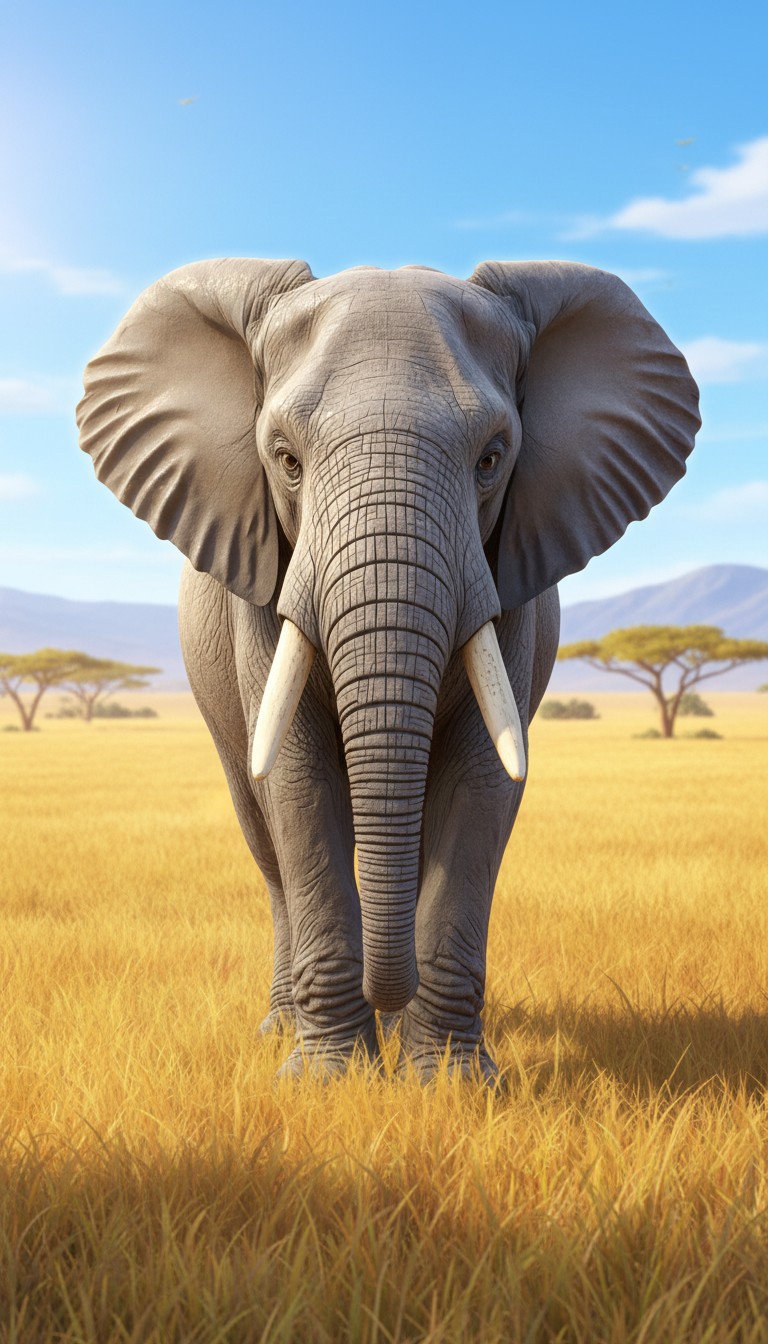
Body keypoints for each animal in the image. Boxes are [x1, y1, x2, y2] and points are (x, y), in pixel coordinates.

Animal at [77, 258, 699, 1082]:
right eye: (285, 460)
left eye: (492, 459)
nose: (386, 993)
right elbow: (299, 777)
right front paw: (326, 1082)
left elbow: (482, 777)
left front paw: (450, 1085)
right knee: (264, 837)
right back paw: (284, 1027)